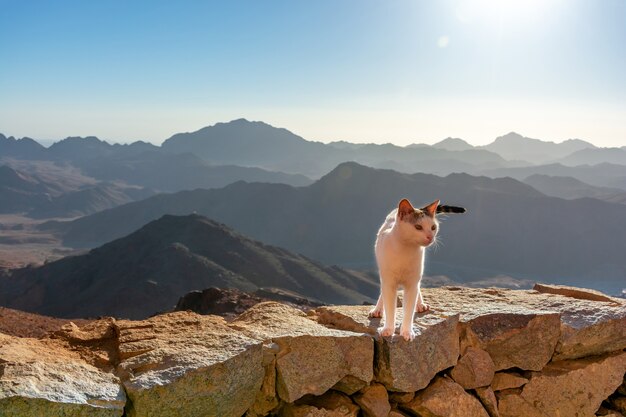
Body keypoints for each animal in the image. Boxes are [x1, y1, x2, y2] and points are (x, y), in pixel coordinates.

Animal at [366, 199, 464, 342]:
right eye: (418, 227)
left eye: (433, 227)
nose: (430, 237)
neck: (406, 250)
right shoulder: (389, 282)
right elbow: (390, 308)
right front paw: (388, 329)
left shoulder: (412, 283)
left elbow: (409, 310)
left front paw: (407, 332)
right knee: (383, 292)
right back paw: (378, 309)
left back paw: (420, 304)